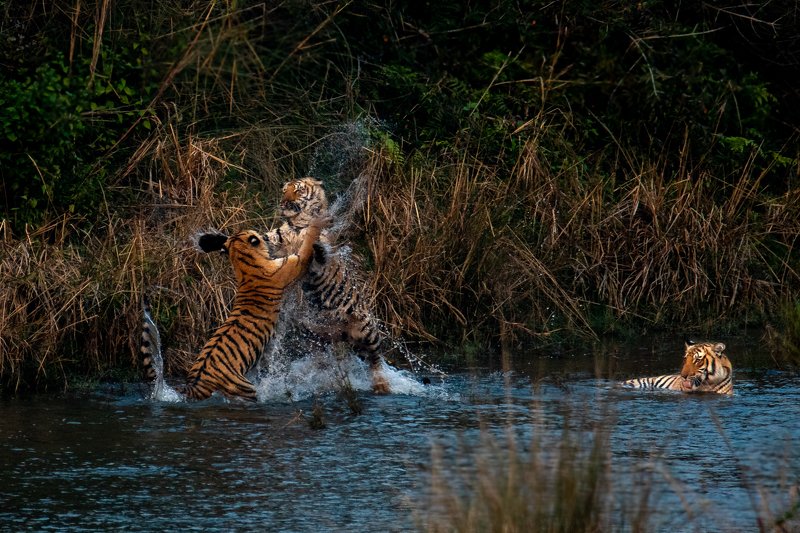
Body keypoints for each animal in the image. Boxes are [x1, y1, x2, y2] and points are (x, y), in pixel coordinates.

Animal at [140, 217, 327, 402]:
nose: (266, 236)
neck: (243, 263)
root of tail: (194, 383)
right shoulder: (293, 265)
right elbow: (308, 242)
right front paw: (318, 219)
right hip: (244, 388)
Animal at [264, 177, 391, 394]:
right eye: (284, 190)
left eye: (298, 191)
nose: (283, 203)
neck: (297, 224)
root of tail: (340, 334)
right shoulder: (278, 239)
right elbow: (265, 238)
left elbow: (317, 250)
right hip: (314, 337)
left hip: (367, 329)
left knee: (376, 359)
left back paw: (381, 385)